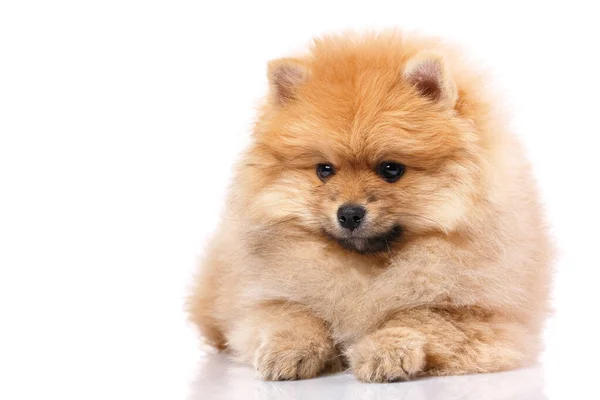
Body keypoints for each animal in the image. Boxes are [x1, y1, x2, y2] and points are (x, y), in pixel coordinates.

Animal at [188, 31, 552, 382]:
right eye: (324, 170)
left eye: (391, 169)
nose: (349, 213)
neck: (366, 269)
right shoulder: (264, 299)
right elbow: (292, 315)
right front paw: (289, 351)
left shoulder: (482, 317)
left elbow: (420, 316)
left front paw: (384, 352)